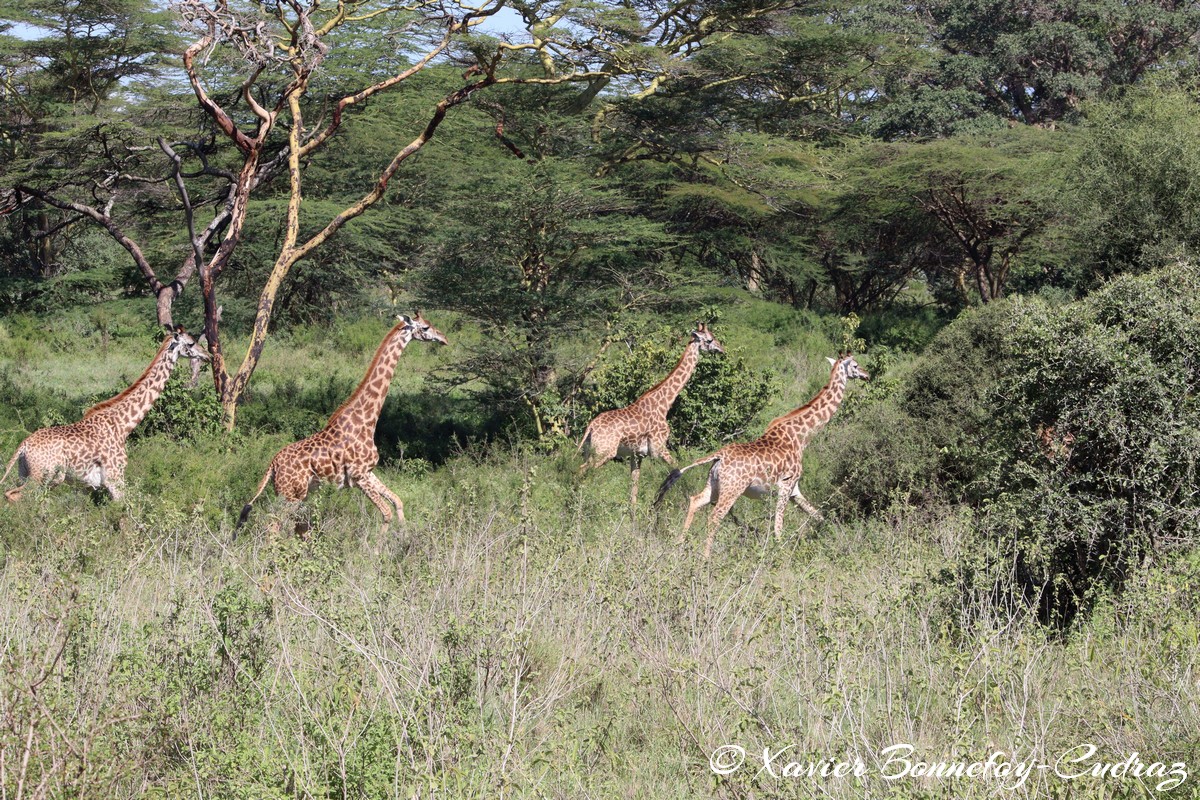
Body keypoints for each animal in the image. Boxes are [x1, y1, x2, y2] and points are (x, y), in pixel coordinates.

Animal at [0, 323, 210, 501]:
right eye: (191, 343)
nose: (207, 355)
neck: (123, 425)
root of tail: (23, 446)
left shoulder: (87, 486)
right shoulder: (115, 478)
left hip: (27, 474)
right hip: (43, 477)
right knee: (16, 496)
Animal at [232, 311, 446, 537]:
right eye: (425, 327)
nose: (443, 338)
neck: (367, 420)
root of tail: (272, 465)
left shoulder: (368, 472)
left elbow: (397, 501)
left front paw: (404, 537)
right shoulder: (359, 475)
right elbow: (386, 512)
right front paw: (380, 546)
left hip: (295, 493)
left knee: (295, 525)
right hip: (291, 494)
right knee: (273, 525)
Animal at [578, 321, 724, 503]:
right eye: (710, 339)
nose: (721, 349)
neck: (664, 404)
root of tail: (591, 426)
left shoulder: (638, 455)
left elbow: (633, 489)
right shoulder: (658, 448)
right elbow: (677, 470)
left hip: (590, 450)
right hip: (605, 451)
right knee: (582, 471)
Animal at [657, 352, 873, 561]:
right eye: (855, 365)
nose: (866, 374)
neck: (802, 437)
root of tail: (718, 456)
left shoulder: (795, 490)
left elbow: (820, 517)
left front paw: (829, 538)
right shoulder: (786, 486)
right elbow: (778, 527)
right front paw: (780, 558)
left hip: (714, 486)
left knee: (695, 501)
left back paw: (678, 547)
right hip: (732, 490)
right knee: (715, 517)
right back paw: (705, 559)